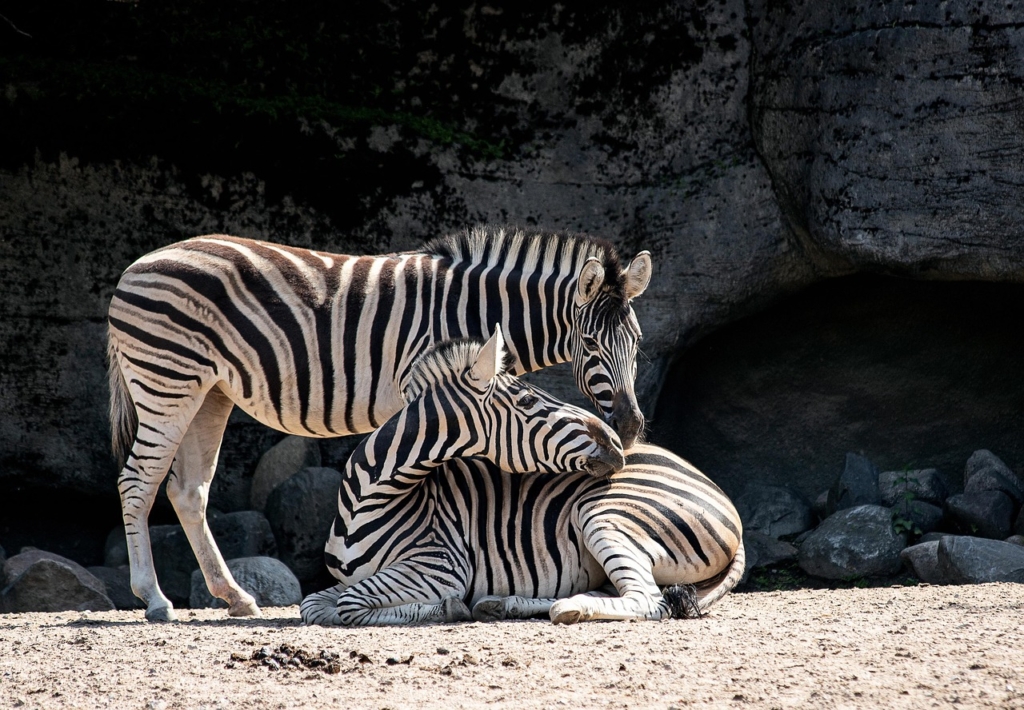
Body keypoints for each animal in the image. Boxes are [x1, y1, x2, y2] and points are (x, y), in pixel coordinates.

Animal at [107, 225, 652, 621]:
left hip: (210, 391)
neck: (477, 309)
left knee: (187, 490)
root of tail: (135, 267)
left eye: (638, 342)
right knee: (137, 482)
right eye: (591, 345)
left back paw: (235, 597)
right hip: (167, 380)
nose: (628, 428)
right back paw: (155, 599)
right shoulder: (424, 387)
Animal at [301, 333, 744, 627]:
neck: (369, 498)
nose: (619, 442)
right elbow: (314, 605)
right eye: (529, 400)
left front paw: (447, 607)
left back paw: (566, 608)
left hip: (605, 514)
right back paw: (504, 604)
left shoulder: (441, 566)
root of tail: (724, 498)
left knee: (649, 601)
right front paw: (455, 607)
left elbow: (348, 606)